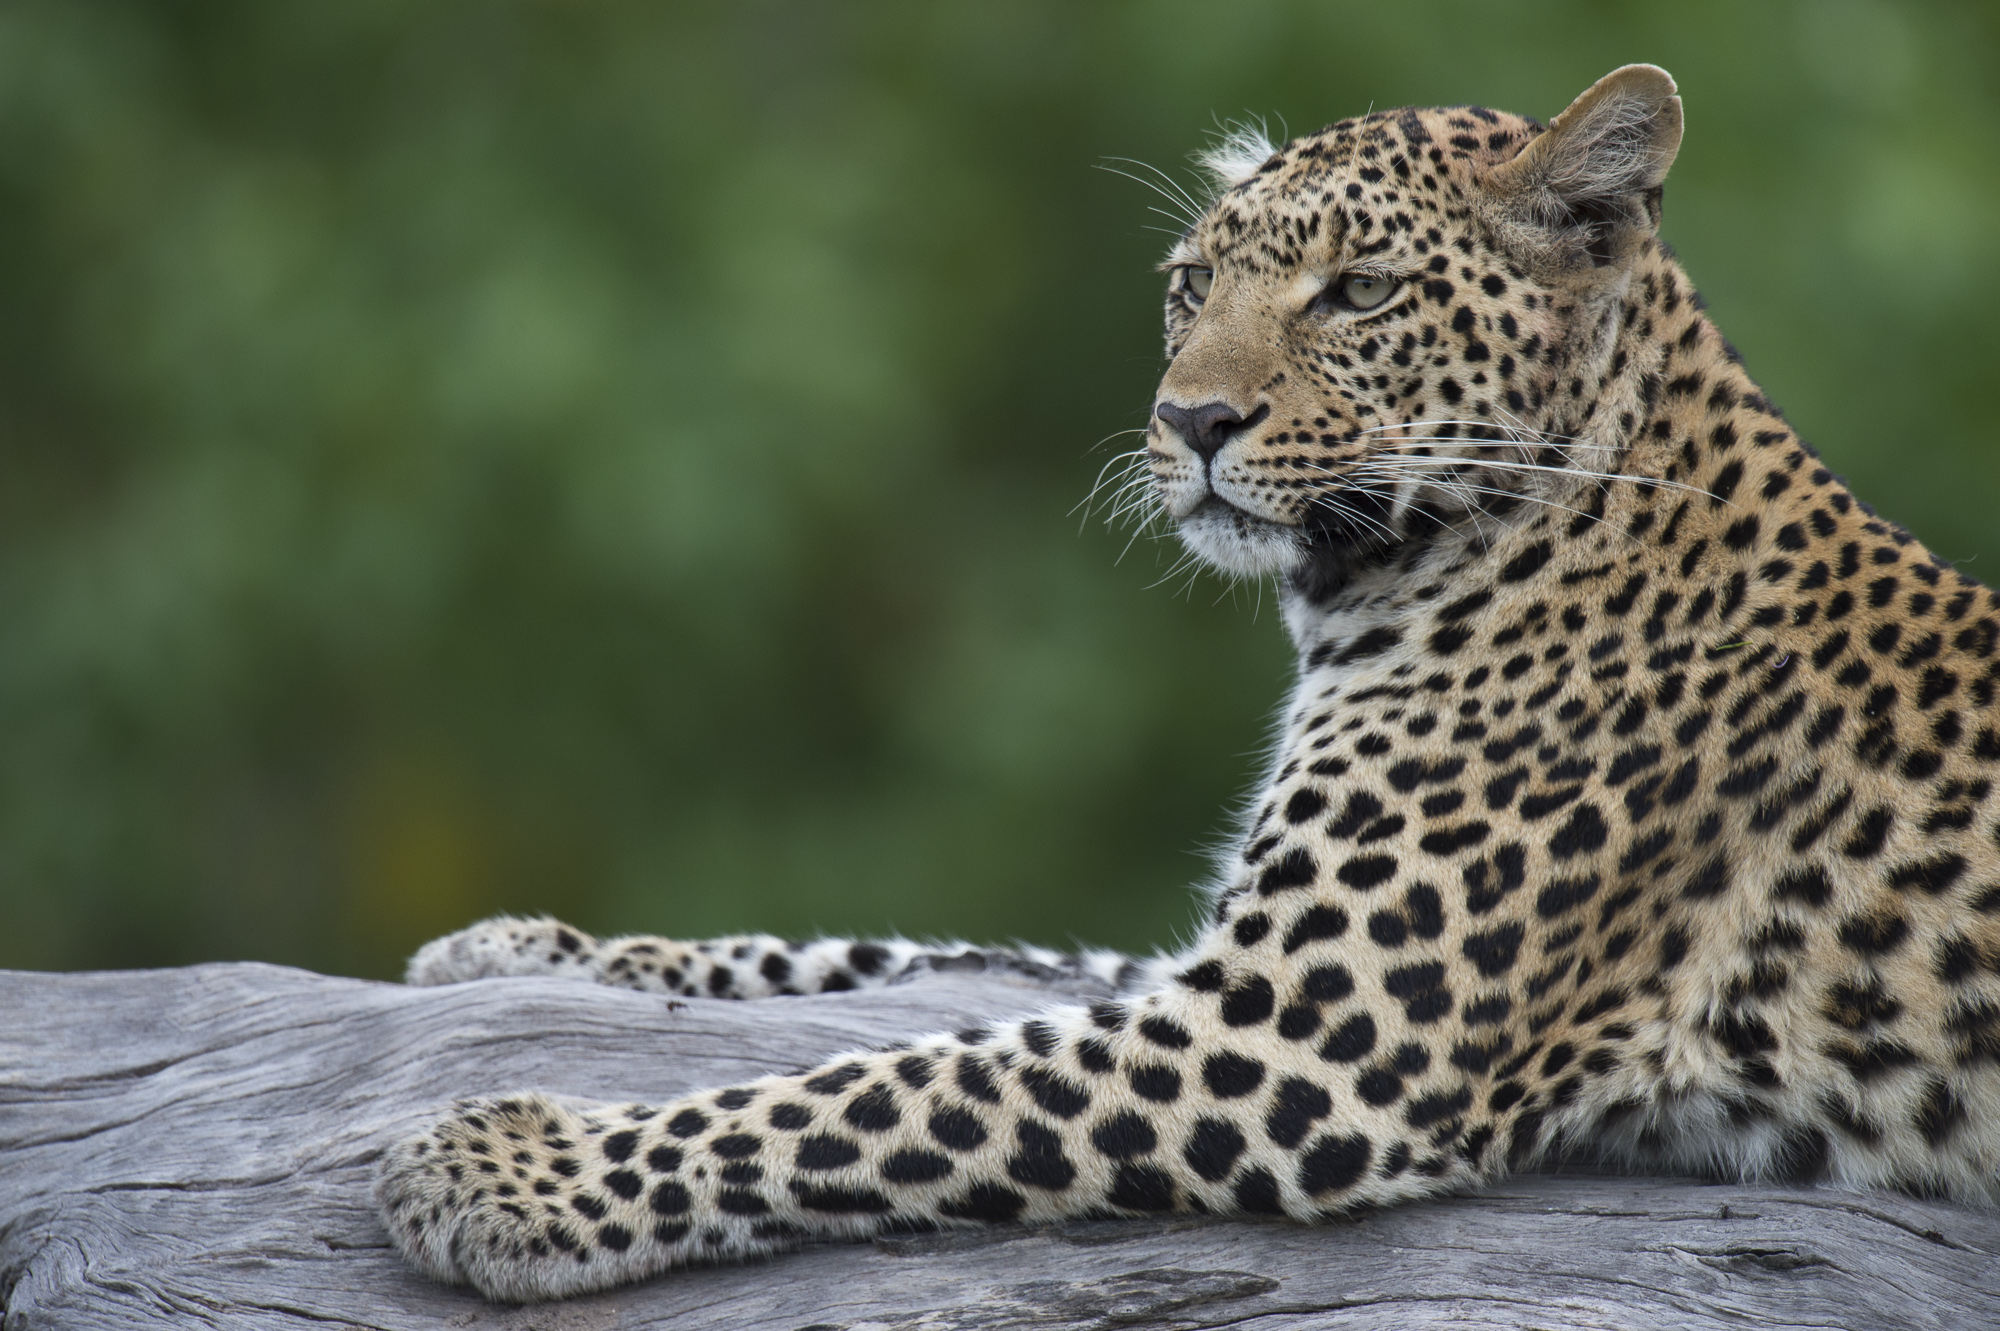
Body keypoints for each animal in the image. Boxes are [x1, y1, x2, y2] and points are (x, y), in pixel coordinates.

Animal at [376, 65, 2000, 1302]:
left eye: (1358, 291)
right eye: (1192, 284)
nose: (1188, 420)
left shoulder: (1306, 1034)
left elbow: (889, 1087)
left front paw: (510, 1168)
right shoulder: (1222, 963)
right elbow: (926, 959)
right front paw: (521, 950)